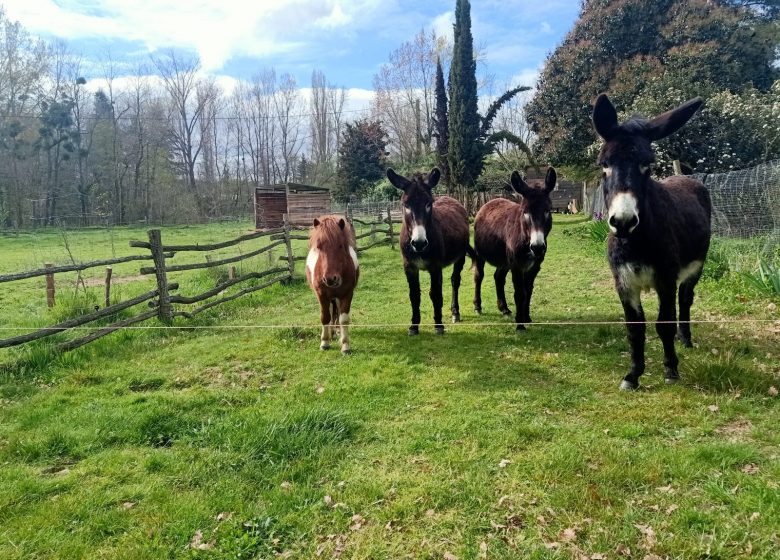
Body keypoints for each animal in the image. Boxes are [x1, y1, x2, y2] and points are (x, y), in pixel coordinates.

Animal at [304, 215, 360, 352]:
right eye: (318, 246)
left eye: (340, 246)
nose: (330, 279)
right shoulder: (322, 295)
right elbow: (325, 317)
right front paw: (324, 342)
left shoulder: (347, 294)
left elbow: (343, 319)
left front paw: (345, 345)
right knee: (330, 313)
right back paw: (331, 334)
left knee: (337, 313)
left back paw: (337, 332)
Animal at [386, 166, 472, 332]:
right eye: (406, 205)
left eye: (428, 204)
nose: (419, 243)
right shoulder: (410, 267)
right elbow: (414, 295)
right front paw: (414, 326)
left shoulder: (435, 266)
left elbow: (435, 294)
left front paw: (438, 325)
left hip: (460, 256)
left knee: (455, 281)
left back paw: (455, 312)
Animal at [472, 168, 556, 330]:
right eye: (525, 212)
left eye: (547, 211)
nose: (537, 247)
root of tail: (489, 202)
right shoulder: (517, 266)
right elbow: (519, 293)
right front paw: (520, 324)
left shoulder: (534, 267)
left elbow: (528, 291)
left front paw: (527, 317)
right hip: (481, 254)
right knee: (479, 277)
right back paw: (478, 306)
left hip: (504, 260)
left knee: (498, 277)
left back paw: (504, 308)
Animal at [596, 94, 708, 390]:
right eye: (604, 165)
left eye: (647, 166)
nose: (623, 222)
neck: (634, 243)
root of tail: (683, 176)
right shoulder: (623, 283)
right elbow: (635, 329)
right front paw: (633, 375)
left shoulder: (665, 279)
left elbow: (663, 324)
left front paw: (670, 369)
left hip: (697, 266)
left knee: (685, 299)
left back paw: (686, 338)